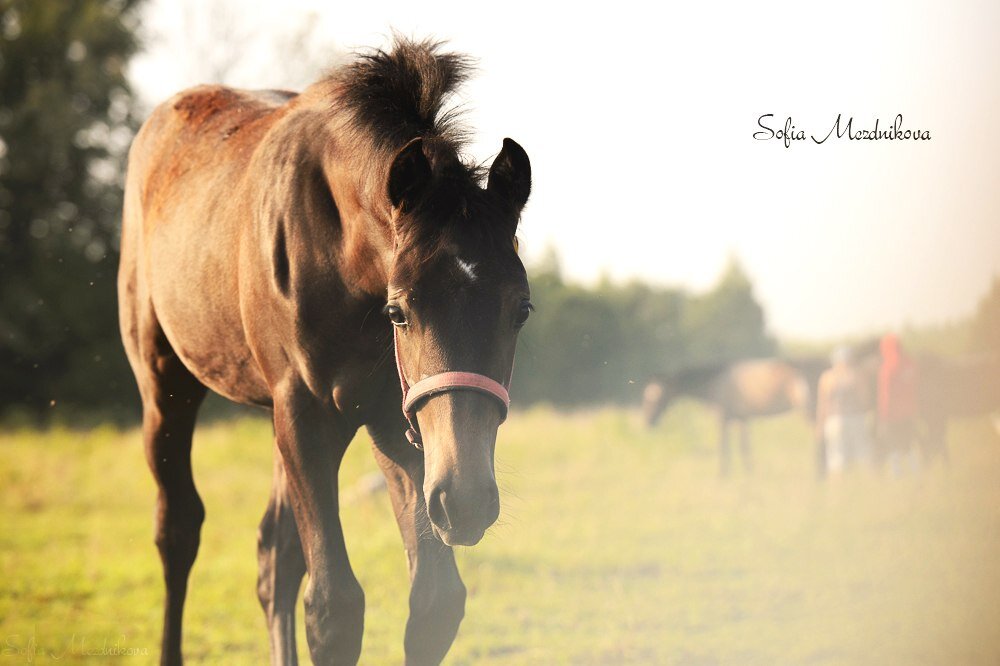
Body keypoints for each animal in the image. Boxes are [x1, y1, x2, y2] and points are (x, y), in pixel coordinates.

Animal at [121, 40, 536, 664]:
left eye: (521, 311)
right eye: (399, 311)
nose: (465, 502)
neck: (338, 251)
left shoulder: (400, 421)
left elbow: (435, 602)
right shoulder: (308, 413)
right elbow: (333, 607)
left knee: (274, 555)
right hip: (166, 385)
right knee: (178, 531)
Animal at [640, 358, 812, 472]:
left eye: (656, 396)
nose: (647, 422)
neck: (716, 384)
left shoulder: (723, 420)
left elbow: (724, 449)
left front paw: (723, 478)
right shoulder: (741, 420)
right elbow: (744, 449)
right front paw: (748, 476)